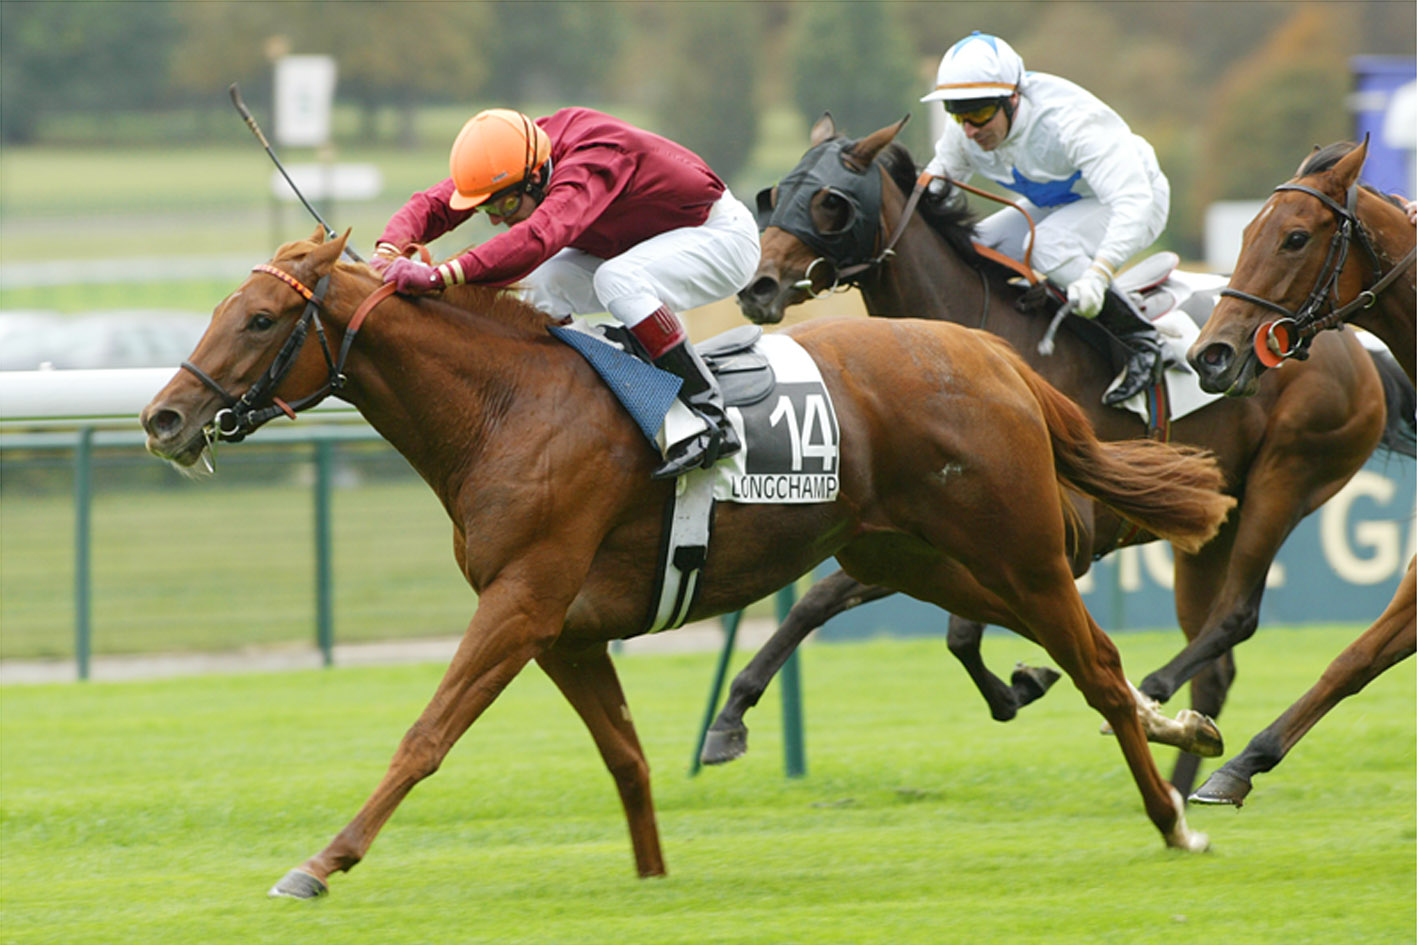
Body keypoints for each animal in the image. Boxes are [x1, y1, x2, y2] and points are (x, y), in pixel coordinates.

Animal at [138, 226, 1235, 895]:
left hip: (1017, 544)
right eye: (225, 310)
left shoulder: (520, 601)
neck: (506, 407)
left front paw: (321, 862)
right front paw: (653, 874)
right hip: (914, 555)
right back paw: (1181, 727)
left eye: (261, 319)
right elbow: (624, 757)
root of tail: (996, 356)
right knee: (1073, 653)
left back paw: (1172, 817)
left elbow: (426, 735)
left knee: (1096, 664)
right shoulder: (564, 631)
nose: (163, 418)